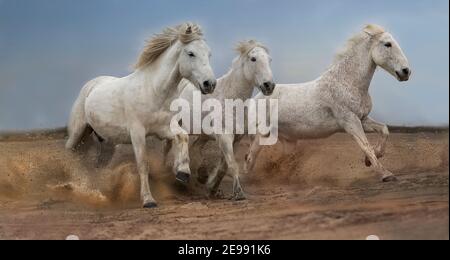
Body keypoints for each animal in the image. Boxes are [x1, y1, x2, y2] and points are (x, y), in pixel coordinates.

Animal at [64, 23, 216, 208]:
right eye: (191, 53)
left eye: (208, 53)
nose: (210, 84)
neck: (153, 90)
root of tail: (90, 86)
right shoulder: (137, 133)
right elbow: (143, 165)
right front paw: (148, 200)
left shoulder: (164, 128)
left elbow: (183, 136)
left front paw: (183, 172)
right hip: (77, 133)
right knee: (69, 155)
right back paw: (70, 185)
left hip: (107, 145)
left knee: (98, 167)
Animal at [166, 40, 274, 199]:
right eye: (253, 59)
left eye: (269, 59)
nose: (269, 86)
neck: (231, 98)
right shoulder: (224, 137)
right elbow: (232, 165)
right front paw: (239, 193)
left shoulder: (236, 139)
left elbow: (224, 167)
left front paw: (212, 188)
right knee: (169, 148)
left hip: (203, 135)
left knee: (195, 149)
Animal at [246, 24, 412, 183]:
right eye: (387, 44)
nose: (406, 72)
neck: (347, 82)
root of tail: (256, 98)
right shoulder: (350, 122)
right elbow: (366, 146)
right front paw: (386, 174)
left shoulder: (362, 119)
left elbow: (384, 130)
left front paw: (371, 160)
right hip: (262, 134)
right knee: (250, 158)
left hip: (285, 139)